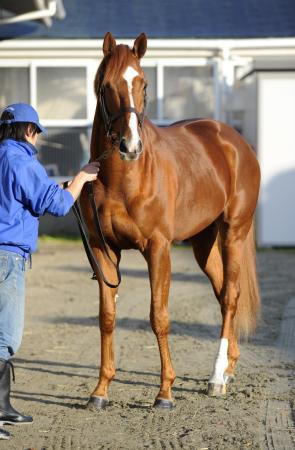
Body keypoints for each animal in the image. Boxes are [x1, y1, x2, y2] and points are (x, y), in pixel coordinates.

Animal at [81, 32, 262, 412]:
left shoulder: (158, 249)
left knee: (231, 297)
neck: (124, 179)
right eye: (105, 86)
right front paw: (100, 390)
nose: (130, 146)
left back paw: (216, 378)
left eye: (144, 84)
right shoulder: (103, 251)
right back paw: (228, 369)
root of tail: (234, 140)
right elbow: (107, 317)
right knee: (223, 293)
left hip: (232, 233)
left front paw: (165, 392)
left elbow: (159, 316)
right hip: (203, 244)